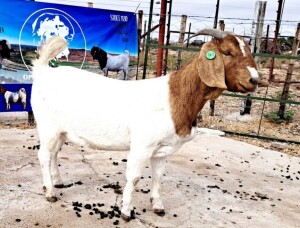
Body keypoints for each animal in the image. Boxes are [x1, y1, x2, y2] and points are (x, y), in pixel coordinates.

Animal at [31, 29, 264, 222]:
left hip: (61, 131)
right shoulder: (142, 146)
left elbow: (158, 176)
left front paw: (158, 206)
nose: (254, 80)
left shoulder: (161, 150)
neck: (175, 96)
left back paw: (57, 181)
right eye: (227, 52)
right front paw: (126, 211)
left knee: (54, 154)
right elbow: (133, 178)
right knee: (44, 156)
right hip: (48, 127)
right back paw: (50, 193)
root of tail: (43, 72)